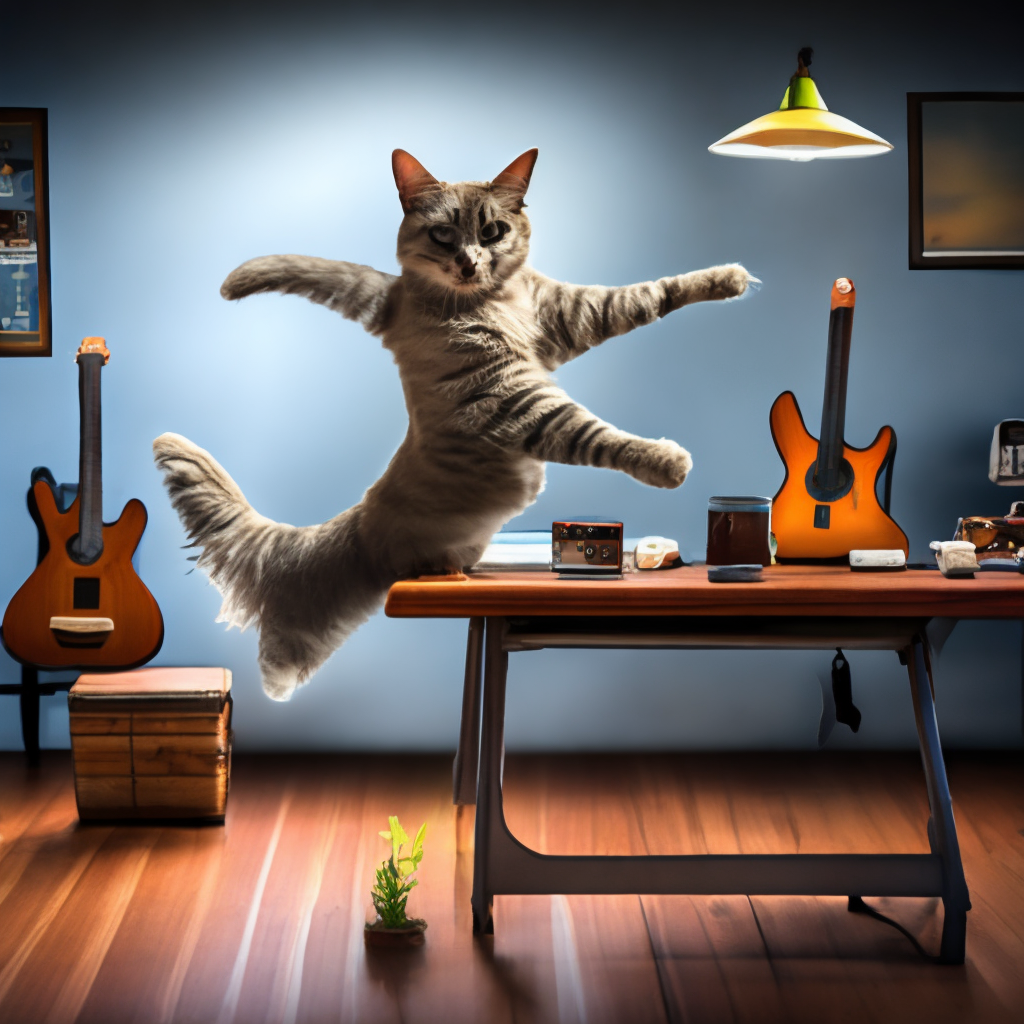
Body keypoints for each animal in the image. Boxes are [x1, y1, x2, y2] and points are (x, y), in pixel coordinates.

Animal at [155, 148, 757, 700]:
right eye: (444, 234)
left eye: (493, 231)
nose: (470, 262)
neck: (497, 300)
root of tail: (361, 525)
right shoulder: (512, 401)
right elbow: (596, 433)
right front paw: (667, 462)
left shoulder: (565, 316)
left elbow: (647, 294)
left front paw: (727, 278)